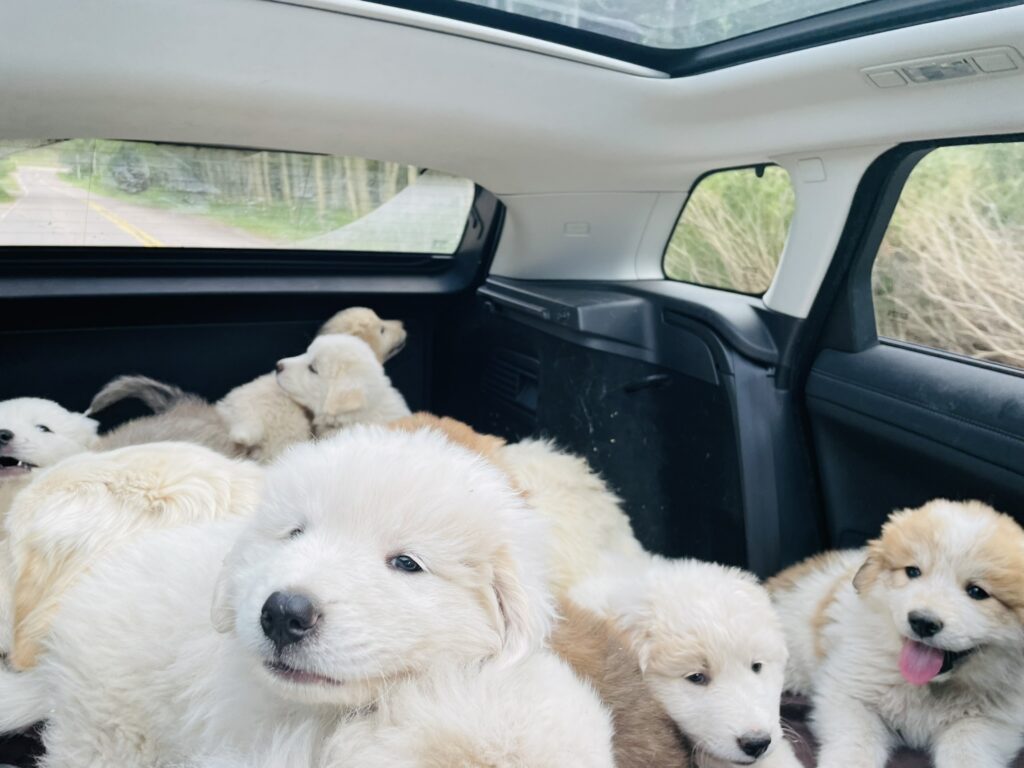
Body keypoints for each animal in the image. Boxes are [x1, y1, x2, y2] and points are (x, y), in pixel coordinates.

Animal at [770, 499, 1024, 768]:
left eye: (977, 591)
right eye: (913, 572)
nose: (922, 622)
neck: (928, 687)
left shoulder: (988, 722)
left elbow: (967, 751)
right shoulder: (849, 693)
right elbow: (857, 740)